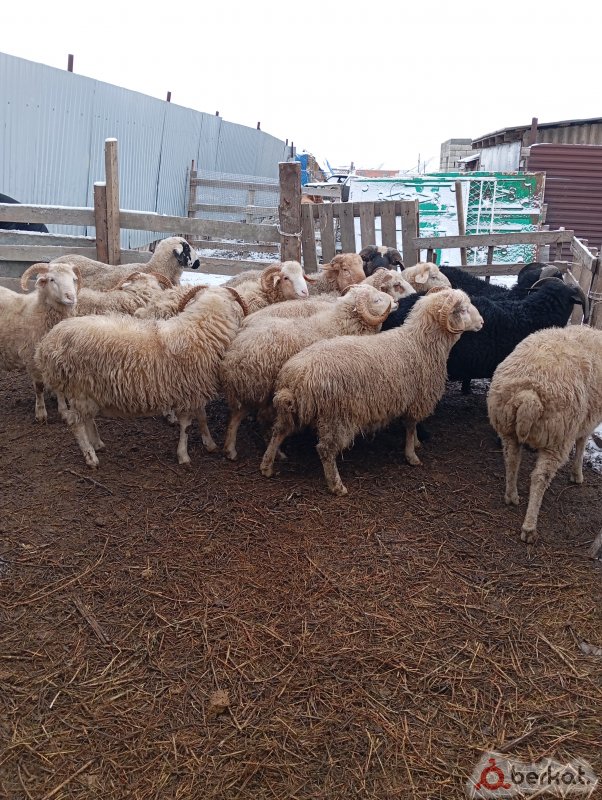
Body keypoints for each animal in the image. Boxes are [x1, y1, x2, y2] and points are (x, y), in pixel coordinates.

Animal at [0, 262, 80, 422]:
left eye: (74, 279)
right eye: (51, 280)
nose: (71, 297)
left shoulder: (53, 358)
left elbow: (58, 386)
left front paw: (63, 411)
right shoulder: (31, 357)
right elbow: (39, 387)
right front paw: (41, 413)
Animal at [35, 285, 248, 468]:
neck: (200, 329)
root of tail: (48, 343)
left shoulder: (194, 390)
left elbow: (202, 417)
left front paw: (210, 443)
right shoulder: (187, 391)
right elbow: (186, 427)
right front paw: (183, 455)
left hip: (87, 390)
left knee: (87, 418)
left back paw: (97, 444)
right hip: (79, 388)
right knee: (76, 423)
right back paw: (90, 457)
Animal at [221, 284, 398, 461]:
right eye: (376, 300)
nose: (395, 302)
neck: (340, 323)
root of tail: (234, 356)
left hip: (253, 388)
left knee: (238, 415)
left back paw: (231, 449)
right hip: (260, 388)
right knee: (255, 418)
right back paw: (263, 452)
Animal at [260, 288, 483, 495]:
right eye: (463, 310)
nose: (482, 322)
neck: (419, 343)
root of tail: (296, 377)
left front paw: (417, 444)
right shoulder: (417, 399)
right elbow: (411, 427)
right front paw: (412, 455)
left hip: (293, 410)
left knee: (278, 431)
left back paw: (267, 466)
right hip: (336, 416)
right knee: (325, 450)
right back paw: (336, 485)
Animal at [487, 325, 602, 544]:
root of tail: (528, 396)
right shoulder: (588, 420)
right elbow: (582, 443)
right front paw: (577, 474)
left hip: (507, 428)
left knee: (512, 460)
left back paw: (511, 496)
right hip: (557, 439)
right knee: (540, 478)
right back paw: (529, 527)